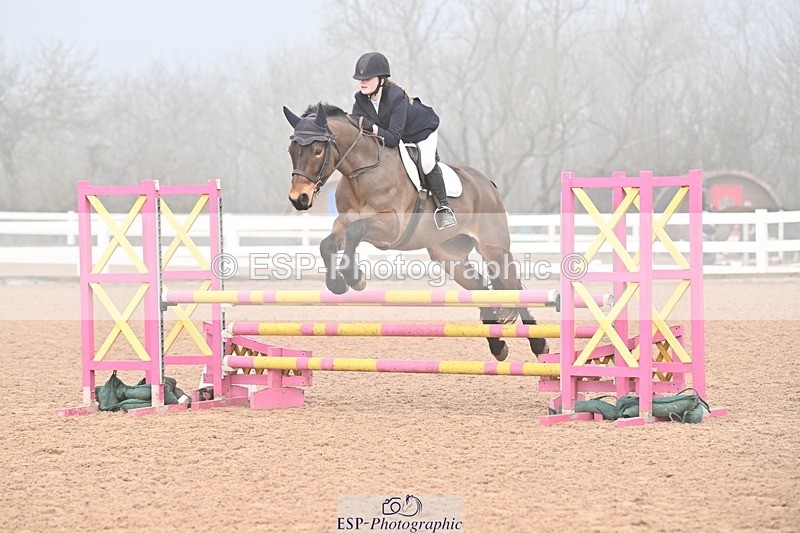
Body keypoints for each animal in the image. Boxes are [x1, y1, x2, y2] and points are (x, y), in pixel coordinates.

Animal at [283, 102, 548, 361]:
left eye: (318, 150)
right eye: (291, 151)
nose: (299, 199)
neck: (363, 173)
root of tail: (487, 184)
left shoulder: (391, 227)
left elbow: (357, 231)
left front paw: (354, 278)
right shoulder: (343, 222)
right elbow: (328, 244)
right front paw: (338, 283)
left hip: (494, 250)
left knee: (513, 287)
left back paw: (539, 344)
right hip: (450, 256)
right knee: (481, 288)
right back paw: (497, 347)